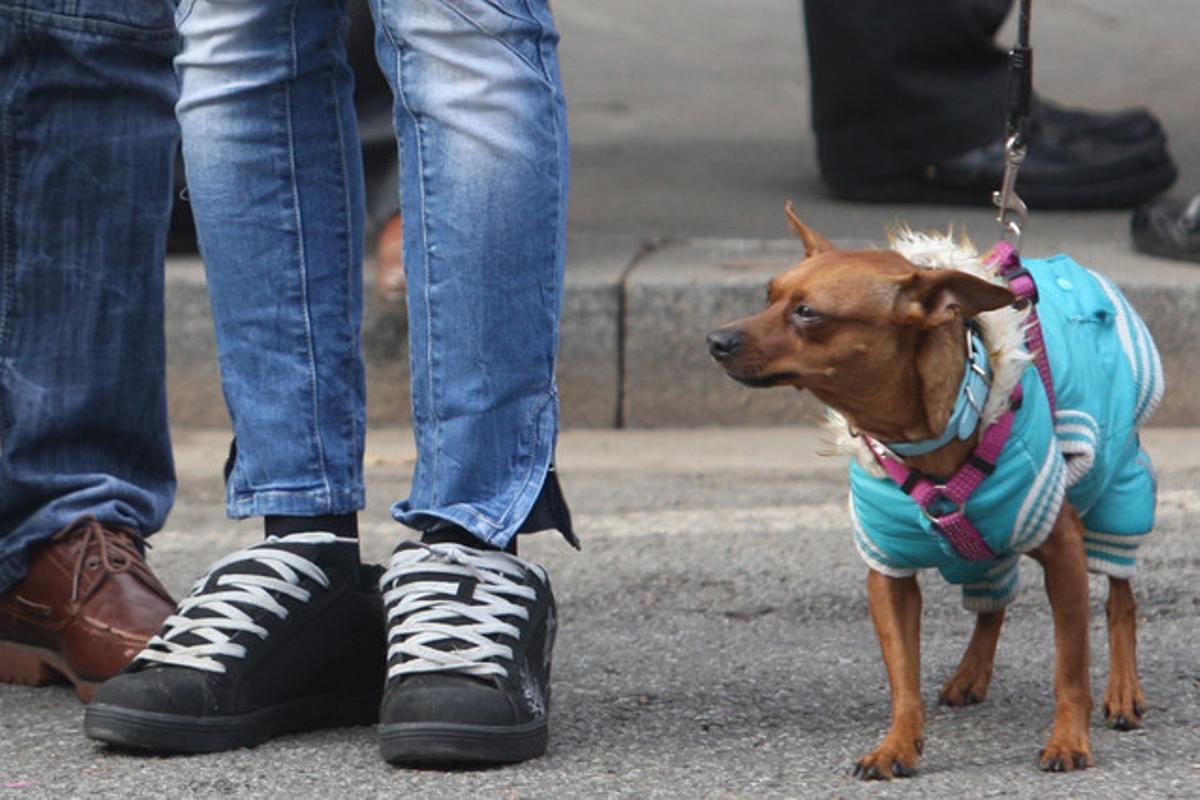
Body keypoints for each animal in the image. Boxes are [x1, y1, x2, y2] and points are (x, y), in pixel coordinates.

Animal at [705, 203, 1156, 777]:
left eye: (807, 313)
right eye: (769, 295)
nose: (716, 341)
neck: (924, 439)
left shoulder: (1063, 555)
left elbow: (1070, 666)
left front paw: (1069, 740)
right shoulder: (888, 571)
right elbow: (903, 676)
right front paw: (897, 744)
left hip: (1117, 489)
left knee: (1121, 598)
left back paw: (1123, 690)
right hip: (990, 546)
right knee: (992, 602)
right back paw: (971, 673)